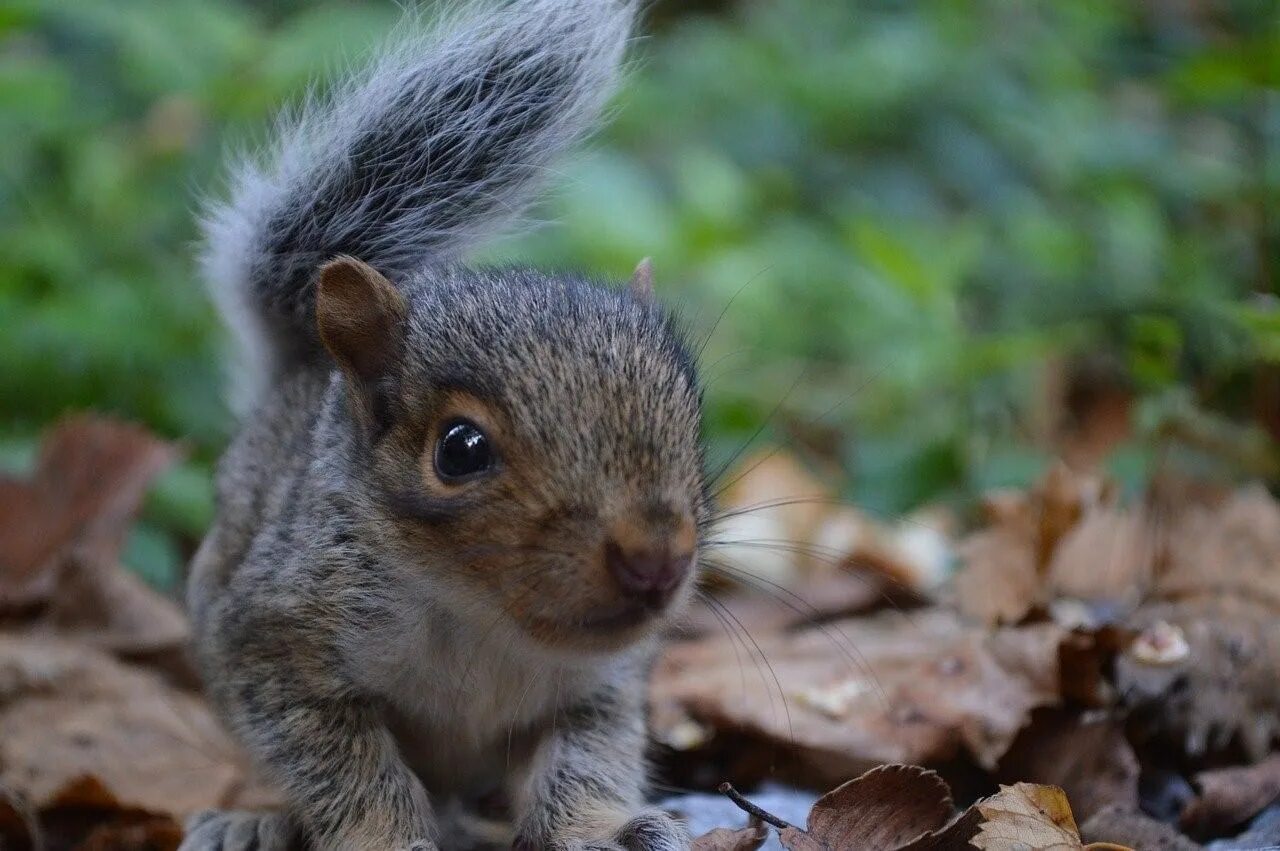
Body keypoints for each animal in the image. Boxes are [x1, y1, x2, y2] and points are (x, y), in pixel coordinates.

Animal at [184, 1, 706, 849]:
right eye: (461, 450)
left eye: (692, 418)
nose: (657, 559)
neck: (480, 616)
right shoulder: (272, 643)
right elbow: (348, 768)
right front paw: (383, 835)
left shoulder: (601, 682)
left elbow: (585, 758)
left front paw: (605, 828)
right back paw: (250, 823)